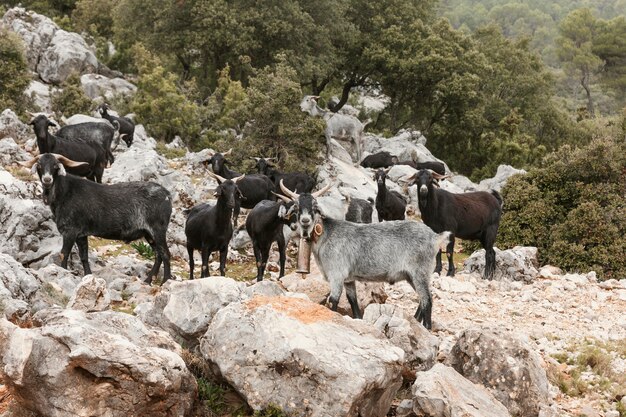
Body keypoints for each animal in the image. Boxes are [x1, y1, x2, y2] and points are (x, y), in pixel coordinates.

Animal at [21, 154, 172, 284]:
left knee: (165, 254)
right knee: (158, 255)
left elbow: (64, 253)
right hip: (148, 233)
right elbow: (84, 256)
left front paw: (62, 271)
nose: (47, 180)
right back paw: (148, 280)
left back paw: (165, 281)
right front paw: (88, 275)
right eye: (39, 165)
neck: (64, 193)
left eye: (55, 166)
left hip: (158, 228)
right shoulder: (81, 234)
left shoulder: (70, 231)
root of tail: (167, 195)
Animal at [276, 180, 446, 330]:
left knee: (427, 299)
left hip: (420, 271)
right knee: (423, 299)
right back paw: (416, 321)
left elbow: (333, 301)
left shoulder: (337, 275)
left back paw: (427, 327)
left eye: (315, 207)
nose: (305, 220)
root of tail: (435, 237)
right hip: (412, 275)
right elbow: (353, 302)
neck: (327, 235)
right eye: (296, 207)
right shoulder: (348, 279)